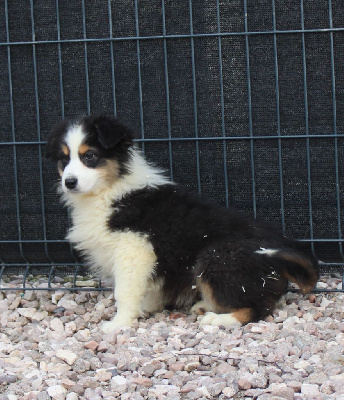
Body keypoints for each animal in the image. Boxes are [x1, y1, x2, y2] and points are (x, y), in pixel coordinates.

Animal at [46, 115, 320, 332]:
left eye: (90, 156)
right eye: (64, 160)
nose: (69, 182)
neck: (111, 190)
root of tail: (278, 254)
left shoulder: (134, 248)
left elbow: (125, 291)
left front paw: (119, 323)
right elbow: (148, 287)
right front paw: (145, 309)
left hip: (215, 258)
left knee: (258, 308)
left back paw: (219, 319)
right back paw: (205, 306)